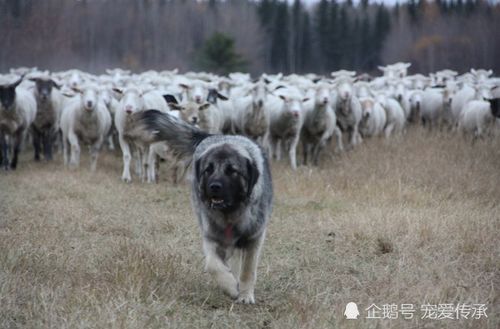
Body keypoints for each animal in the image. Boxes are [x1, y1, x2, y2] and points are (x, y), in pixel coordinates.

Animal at [133, 109, 274, 302]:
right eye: (208, 169)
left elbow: (247, 270)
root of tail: (214, 136)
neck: (229, 213)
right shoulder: (211, 236)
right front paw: (230, 286)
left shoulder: (254, 238)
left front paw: (245, 295)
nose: (214, 186)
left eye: (232, 171)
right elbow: (213, 265)